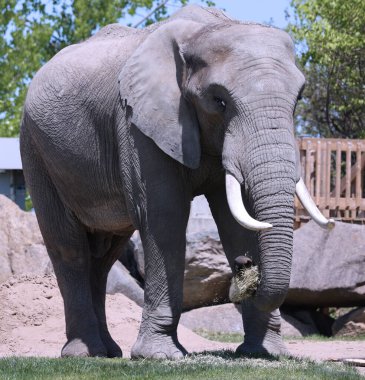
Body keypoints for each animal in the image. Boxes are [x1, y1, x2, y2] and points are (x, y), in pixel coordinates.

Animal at [19, 4, 332, 358]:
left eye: (299, 98)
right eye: (219, 100)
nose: (244, 265)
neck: (206, 31)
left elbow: (238, 221)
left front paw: (264, 353)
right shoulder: (137, 123)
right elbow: (163, 217)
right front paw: (159, 355)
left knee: (104, 257)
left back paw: (108, 352)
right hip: (35, 150)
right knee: (70, 249)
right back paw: (86, 353)